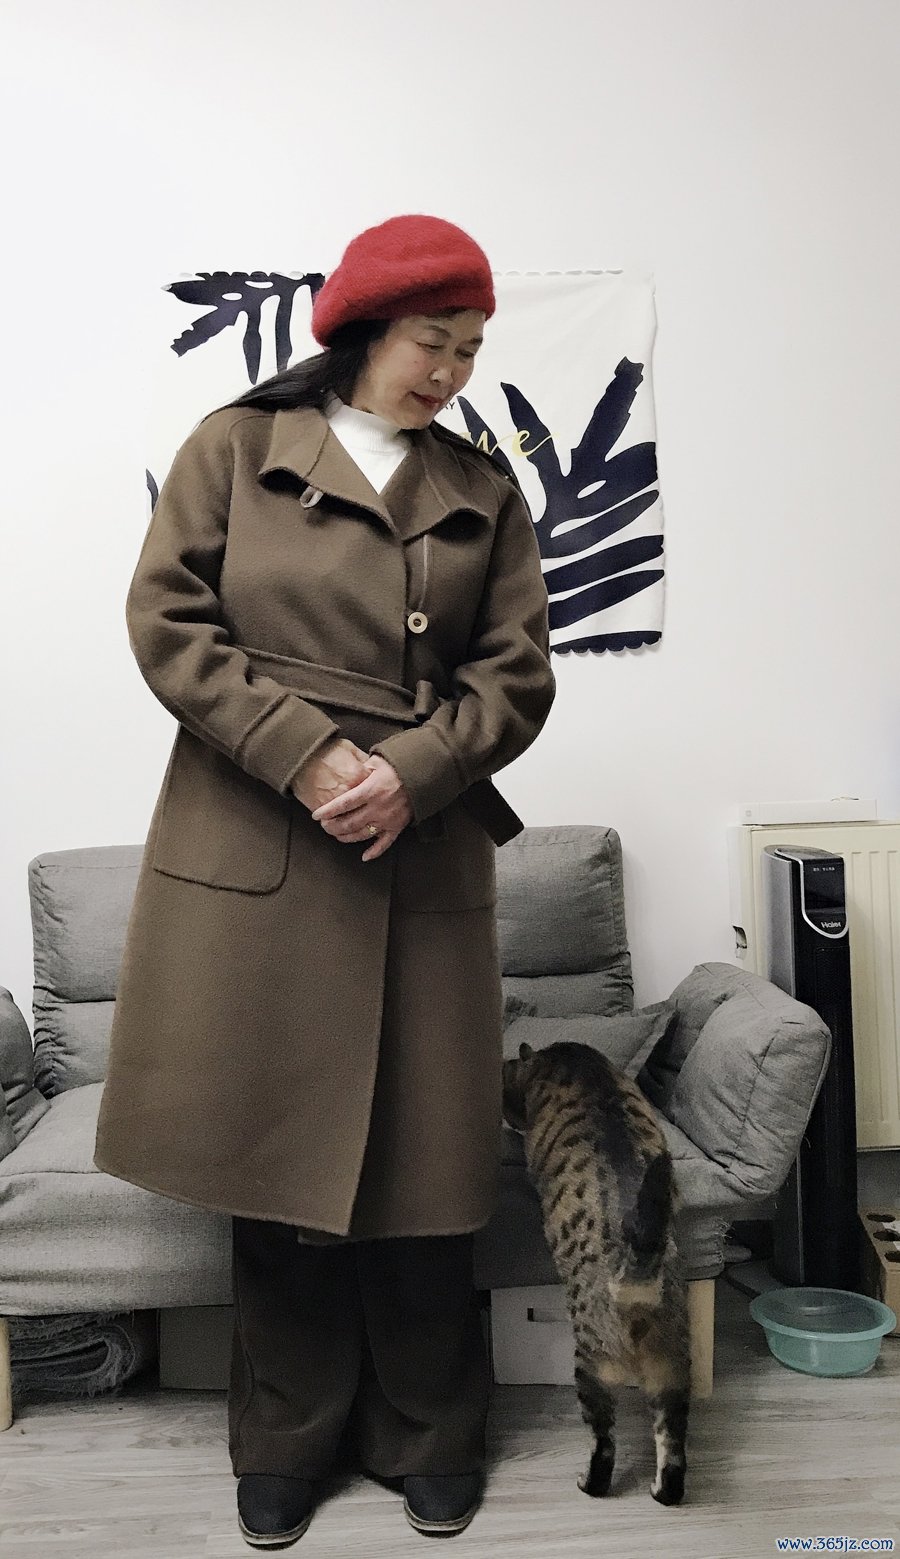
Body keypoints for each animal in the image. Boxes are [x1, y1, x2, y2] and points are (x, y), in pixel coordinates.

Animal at [501, 1038, 691, 1505]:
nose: (507, 1120)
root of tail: (638, 1272)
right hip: (672, 1365)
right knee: (673, 1443)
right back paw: (663, 1491)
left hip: (592, 1365)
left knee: (604, 1443)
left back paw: (590, 1485)